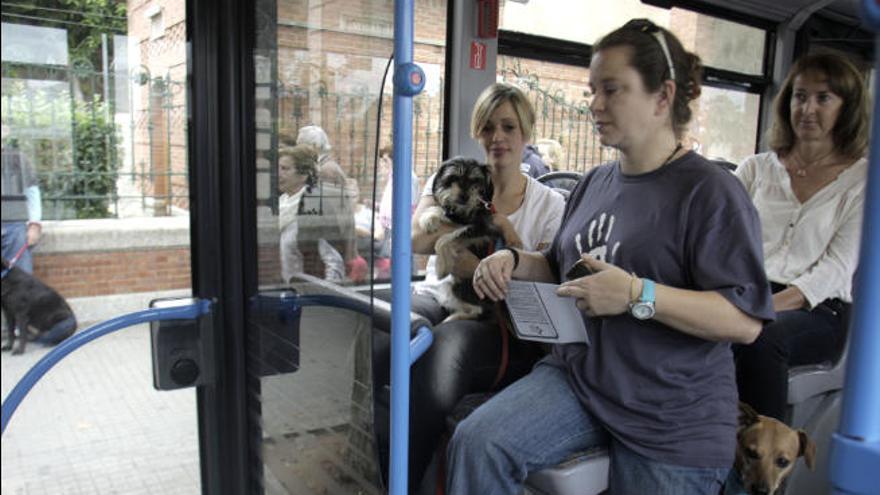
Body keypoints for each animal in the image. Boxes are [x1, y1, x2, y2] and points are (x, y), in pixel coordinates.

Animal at [420, 157, 508, 324]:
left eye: (476, 181)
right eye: (453, 178)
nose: (464, 196)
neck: (464, 213)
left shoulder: (485, 230)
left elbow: (446, 239)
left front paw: (442, 266)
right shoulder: (455, 215)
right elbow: (442, 210)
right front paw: (428, 218)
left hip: (461, 287)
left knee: (479, 310)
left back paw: (454, 317)